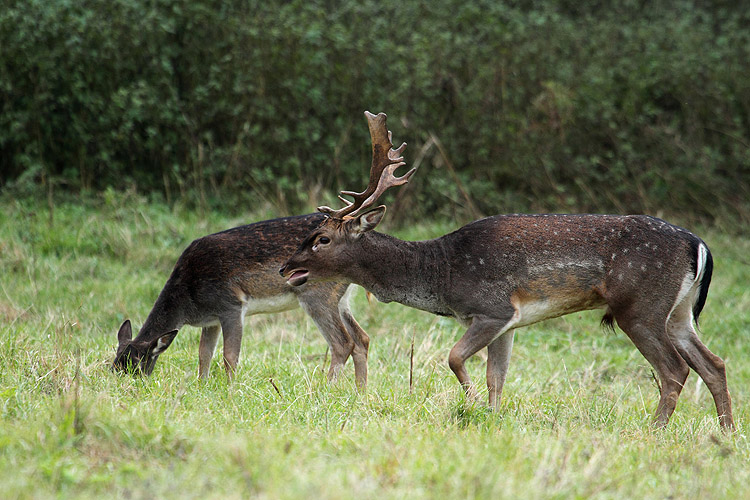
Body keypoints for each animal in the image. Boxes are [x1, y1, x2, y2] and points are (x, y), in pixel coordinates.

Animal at [114, 215, 370, 386]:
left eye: (137, 365)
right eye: (114, 364)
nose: (124, 385)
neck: (189, 300)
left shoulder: (231, 305)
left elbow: (229, 356)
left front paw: (230, 390)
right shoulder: (211, 320)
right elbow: (204, 354)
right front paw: (202, 386)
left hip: (317, 295)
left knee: (342, 343)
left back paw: (327, 389)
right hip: (341, 298)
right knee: (362, 339)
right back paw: (360, 392)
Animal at [280, 110, 736, 430]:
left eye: (321, 238)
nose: (285, 267)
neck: (441, 272)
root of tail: (699, 245)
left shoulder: (492, 308)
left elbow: (454, 358)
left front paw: (469, 406)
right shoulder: (509, 323)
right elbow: (495, 377)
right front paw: (492, 418)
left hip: (640, 306)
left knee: (674, 370)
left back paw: (654, 430)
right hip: (678, 312)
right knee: (714, 363)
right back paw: (727, 433)